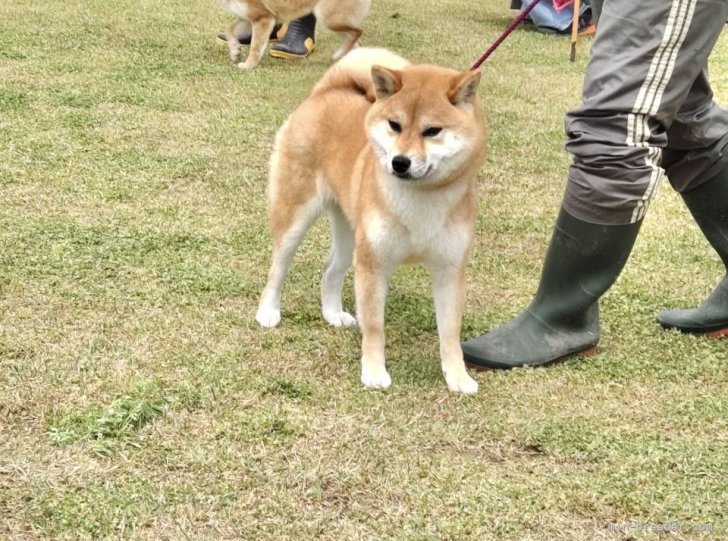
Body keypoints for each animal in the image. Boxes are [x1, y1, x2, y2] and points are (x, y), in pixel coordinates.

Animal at [216, 0, 370, 69]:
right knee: (355, 40)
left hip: (328, 18)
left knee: (357, 32)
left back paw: (340, 54)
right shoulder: (247, 19)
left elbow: (255, 47)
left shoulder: (263, 19)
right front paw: (235, 51)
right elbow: (230, 30)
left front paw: (248, 65)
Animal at [256, 47, 490, 392]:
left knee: (331, 268)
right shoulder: (373, 265)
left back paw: (333, 313)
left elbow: (450, 334)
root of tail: (326, 91)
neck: (421, 199)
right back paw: (268, 312)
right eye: (394, 125)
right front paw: (374, 371)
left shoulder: (450, 271)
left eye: (432, 131)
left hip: (351, 231)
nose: (400, 162)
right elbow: (375, 326)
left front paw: (458, 377)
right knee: (278, 266)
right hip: (296, 213)